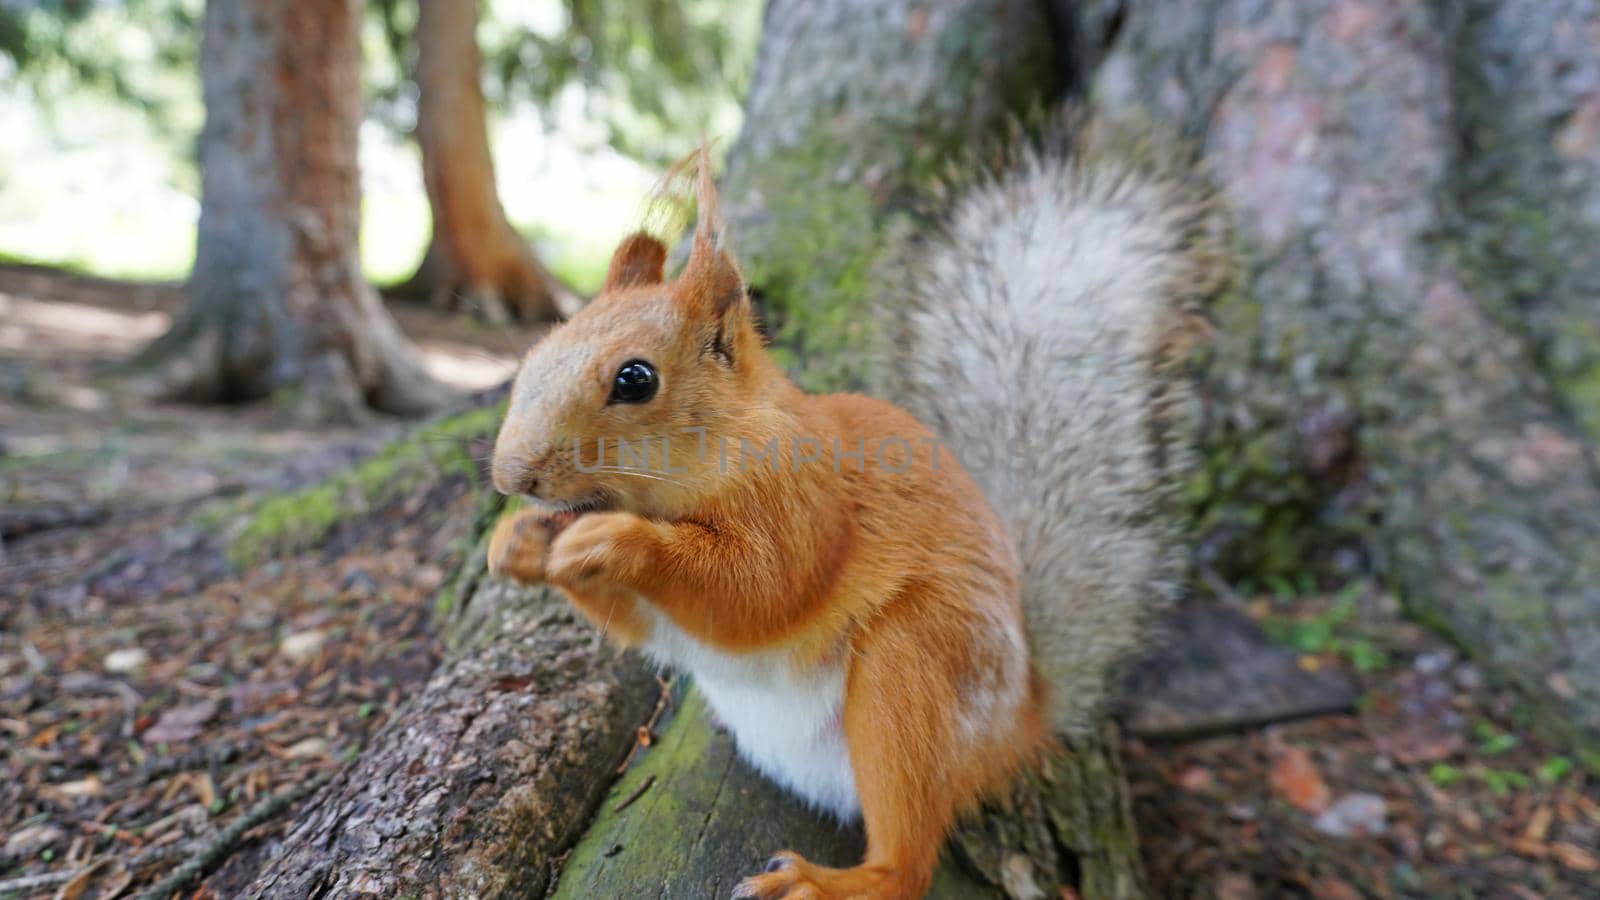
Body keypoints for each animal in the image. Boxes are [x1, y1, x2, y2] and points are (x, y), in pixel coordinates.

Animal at [483, 120, 1209, 896]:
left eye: (635, 379)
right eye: (536, 353)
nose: (511, 475)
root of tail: (1020, 723)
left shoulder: (807, 500)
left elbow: (760, 590)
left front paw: (614, 542)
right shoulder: (664, 612)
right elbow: (645, 624)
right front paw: (517, 543)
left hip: (915, 670)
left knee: (908, 861)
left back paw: (830, 881)